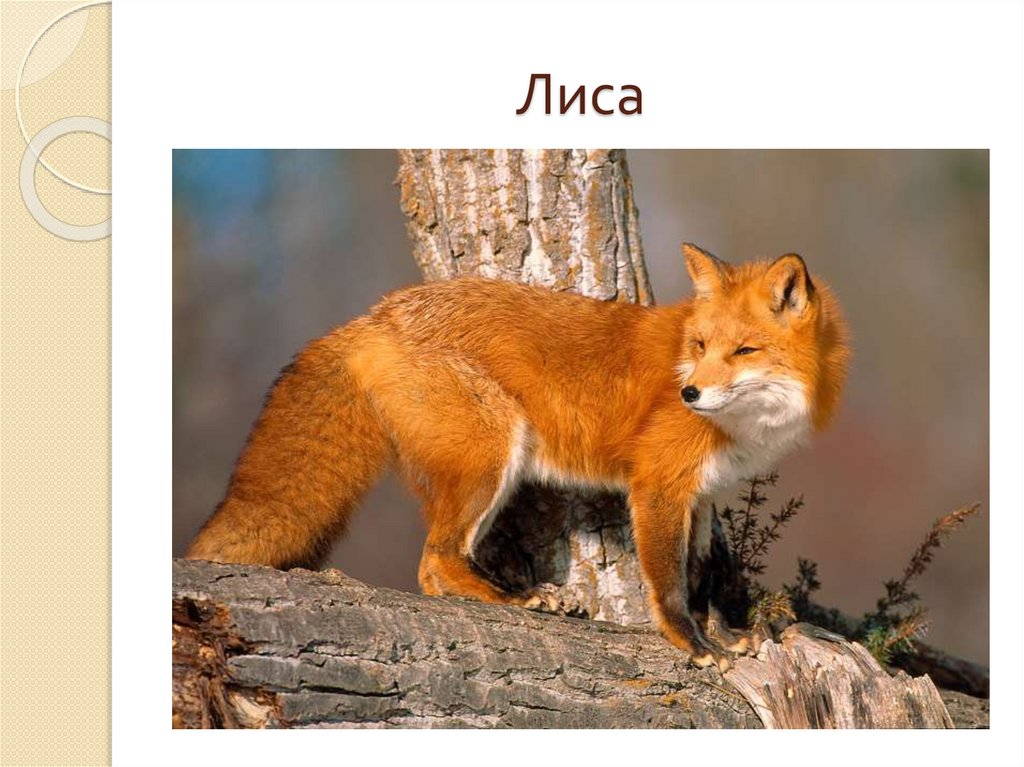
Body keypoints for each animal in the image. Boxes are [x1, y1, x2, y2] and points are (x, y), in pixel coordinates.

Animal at [186, 243, 850, 670]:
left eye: (743, 351)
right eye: (702, 345)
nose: (688, 394)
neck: (750, 426)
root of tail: (374, 315)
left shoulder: (704, 494)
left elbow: (703, 575)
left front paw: (725, 635)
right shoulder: (659, 485)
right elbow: (669, 585)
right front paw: (693, 647)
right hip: (491, 457)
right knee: (434, 565)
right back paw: (515, 599)